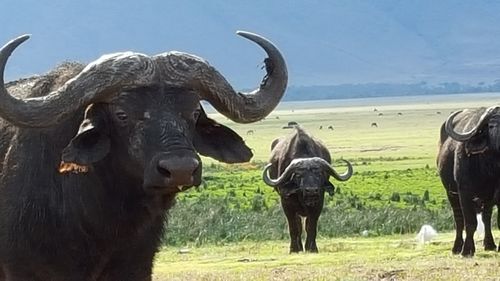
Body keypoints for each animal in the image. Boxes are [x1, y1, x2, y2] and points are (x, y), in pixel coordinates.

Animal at [436, 105, 500, 256]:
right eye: (490, 125)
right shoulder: (465, 193)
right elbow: (470, 223)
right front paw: (467, 250)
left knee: (486, 218)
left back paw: (489, 244)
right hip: (451, 194)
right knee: (459, 220)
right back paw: (457, 247)